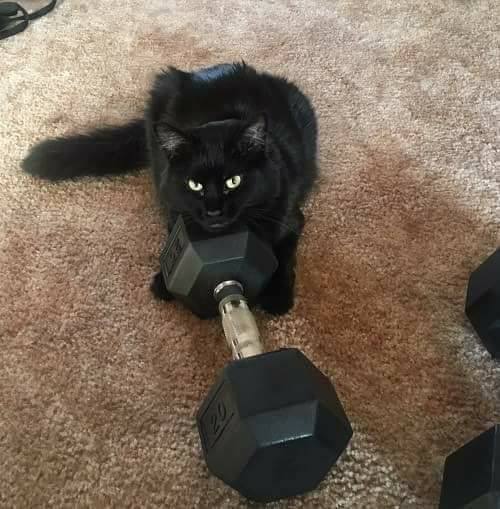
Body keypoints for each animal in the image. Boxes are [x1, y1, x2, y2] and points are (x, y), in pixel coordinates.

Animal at [22, 62, 318, 315]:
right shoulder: (173, 206)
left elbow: (284, 255)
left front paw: (278, 297)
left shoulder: (289, 217)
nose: (213, 211)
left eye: (233, 181)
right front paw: (164, 281)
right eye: (194, 184)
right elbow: (174, 236)